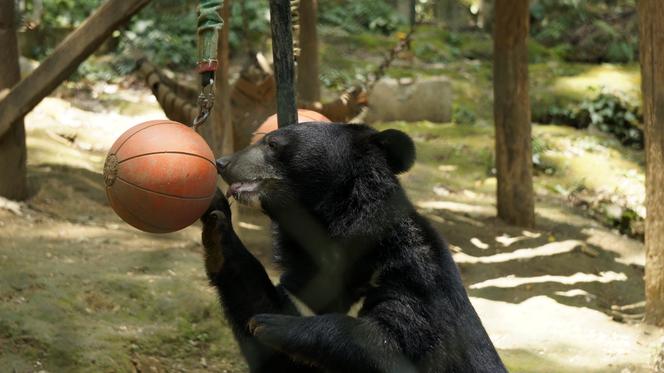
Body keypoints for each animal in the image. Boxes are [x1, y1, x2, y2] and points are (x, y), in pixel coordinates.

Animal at [200, 123, 506, 372]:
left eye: (272, 144)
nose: (222, 162)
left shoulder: (417, 277)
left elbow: (388, 344)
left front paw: (271, 325)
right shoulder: (306, 285)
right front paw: (217, 221)